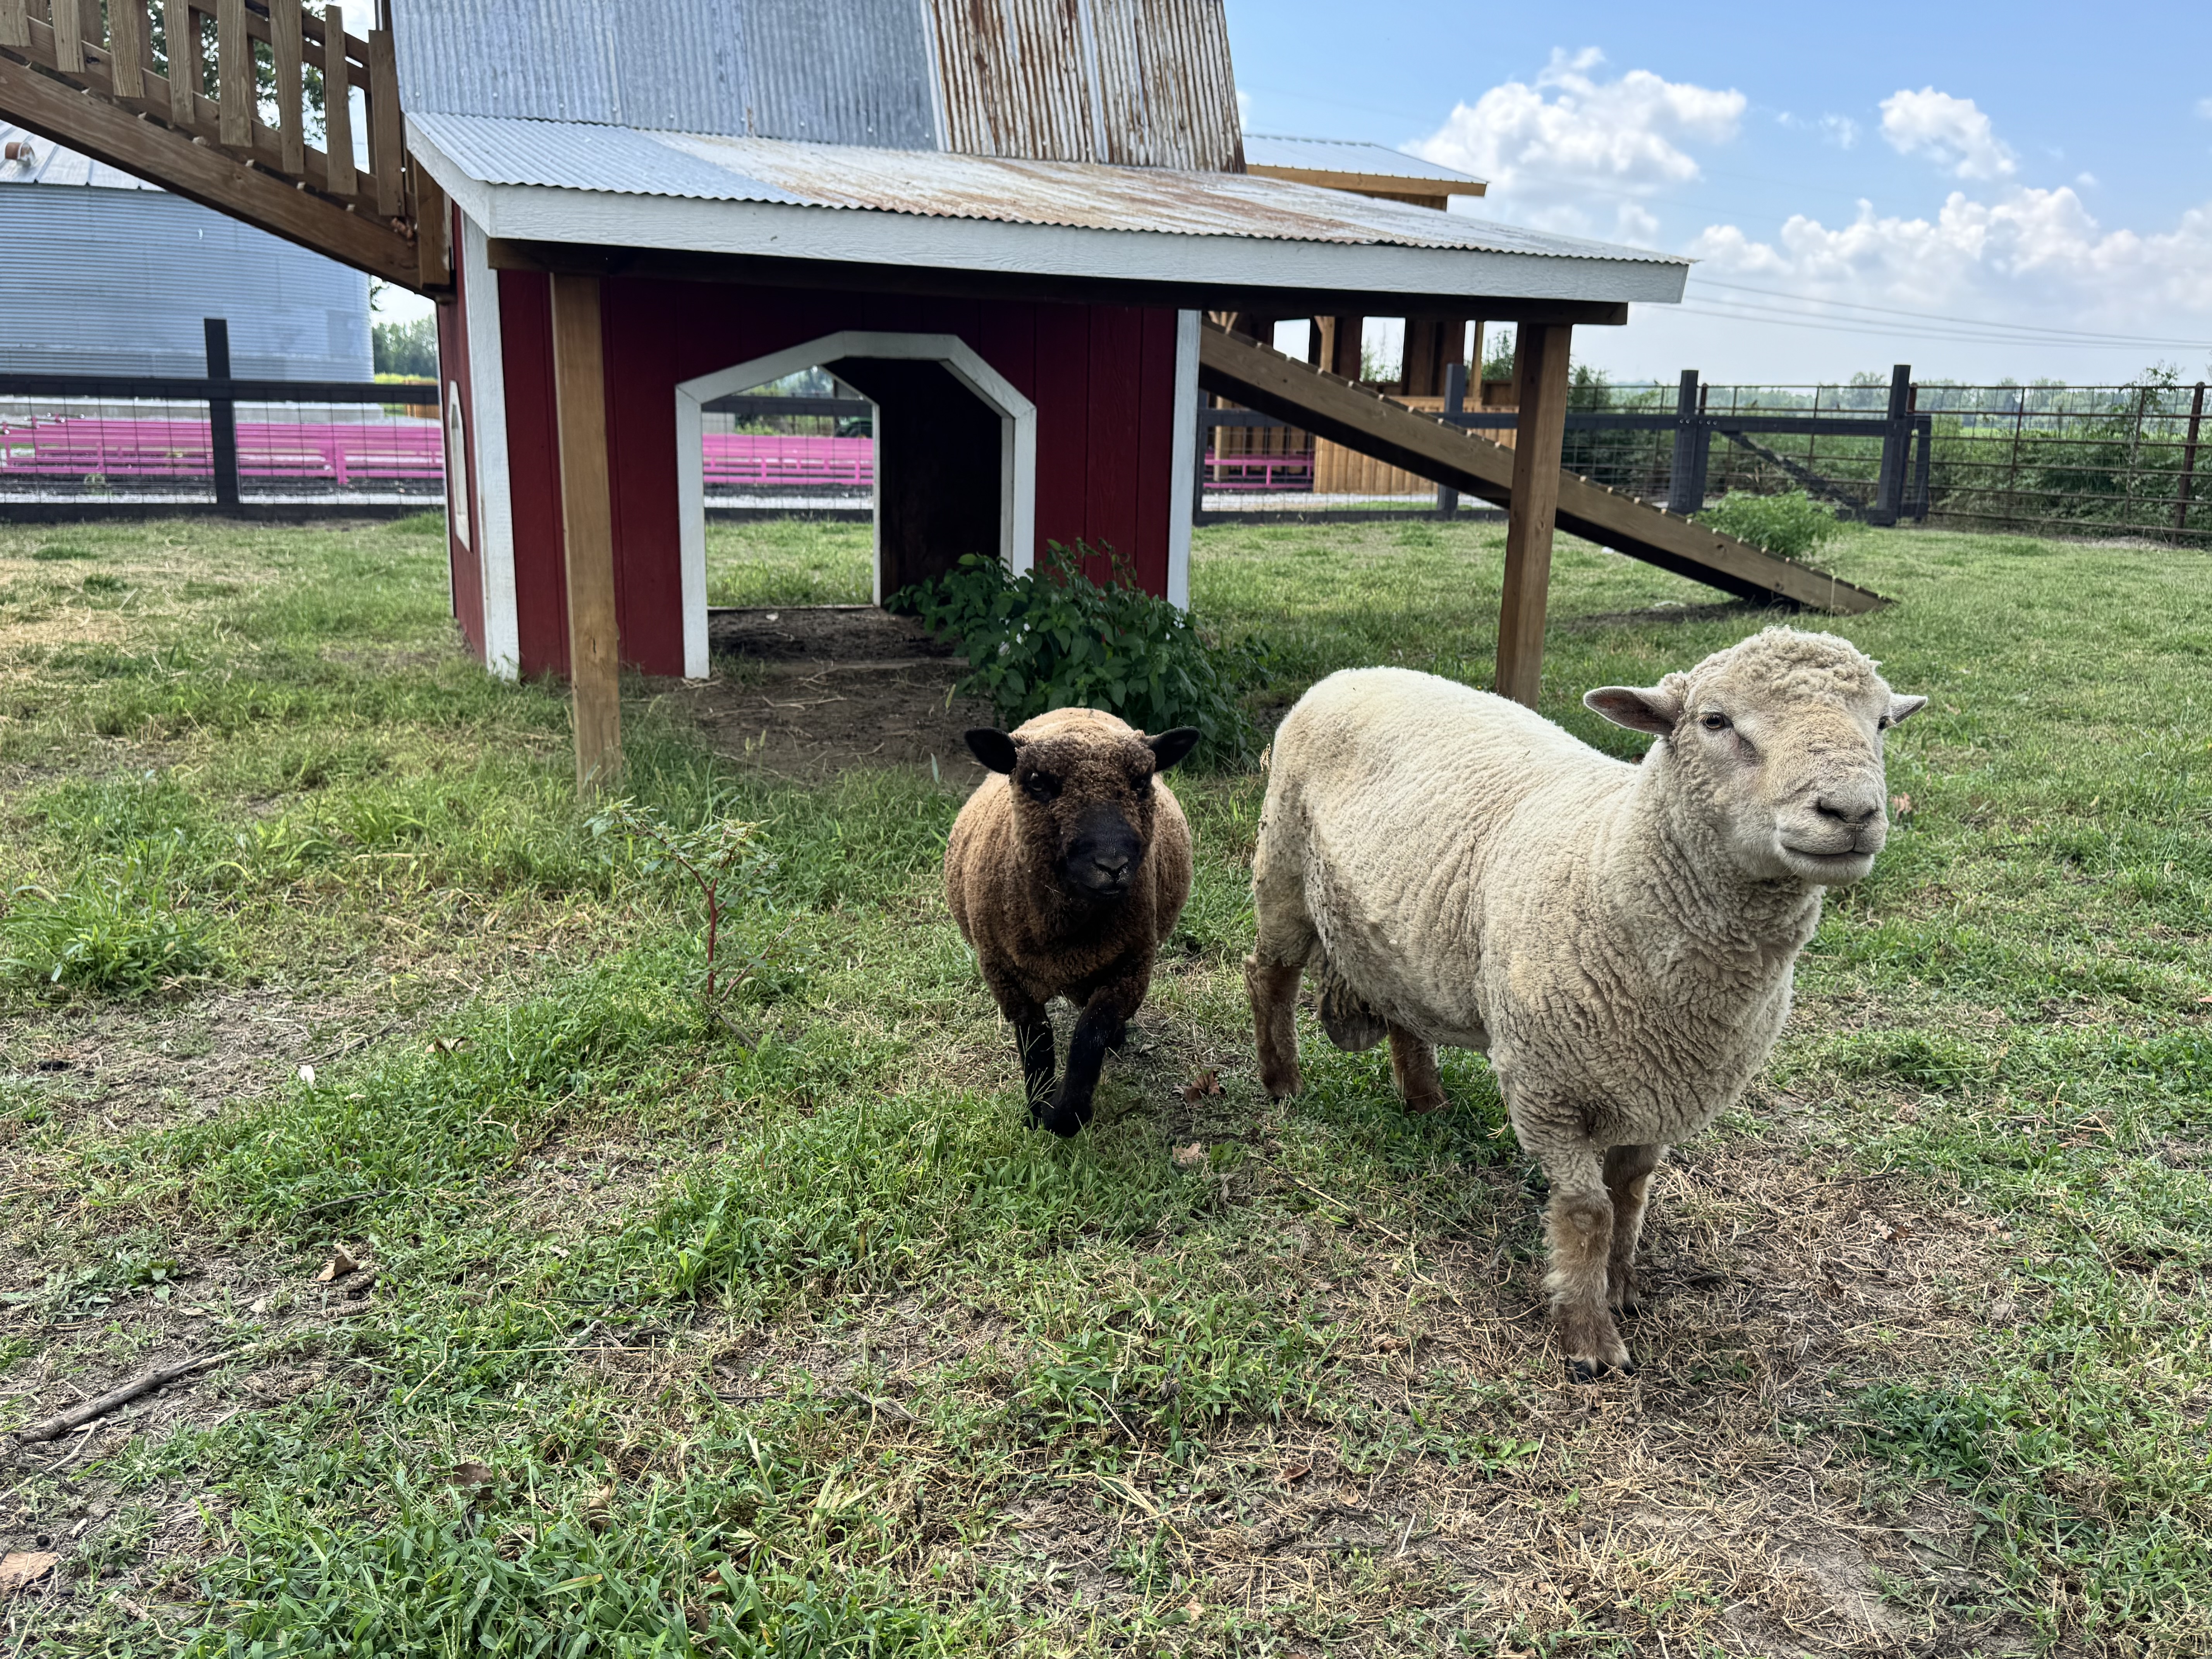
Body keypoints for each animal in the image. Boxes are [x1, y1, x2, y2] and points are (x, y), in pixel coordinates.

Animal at [947, 708, 1201, 1136]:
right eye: (1037, 782)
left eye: (1141, 781)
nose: (1113, 866)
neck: (1065, 938)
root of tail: (1079, 710)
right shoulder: (1004, 976)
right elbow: (1037, 1042)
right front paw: (1037, 1111)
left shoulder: (1132, 969)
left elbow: (1089, 1036)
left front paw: (1066, 1116)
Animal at [1245, 628, 1925, 1380]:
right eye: (1715, 721)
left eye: (1883, 722)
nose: (1853, 813)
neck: (1611, 862)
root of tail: (1356, 672)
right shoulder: (1547, 1089)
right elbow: (1586, 1211)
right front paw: (1587, 1334)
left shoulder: (1660, 1088)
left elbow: (1630, 1194)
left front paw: (1621, 1284)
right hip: (1282, 865)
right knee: (1268, 976)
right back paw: (1282, 1082)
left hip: (1396, 930)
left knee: (1403, 1011)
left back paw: (1426, 1098)